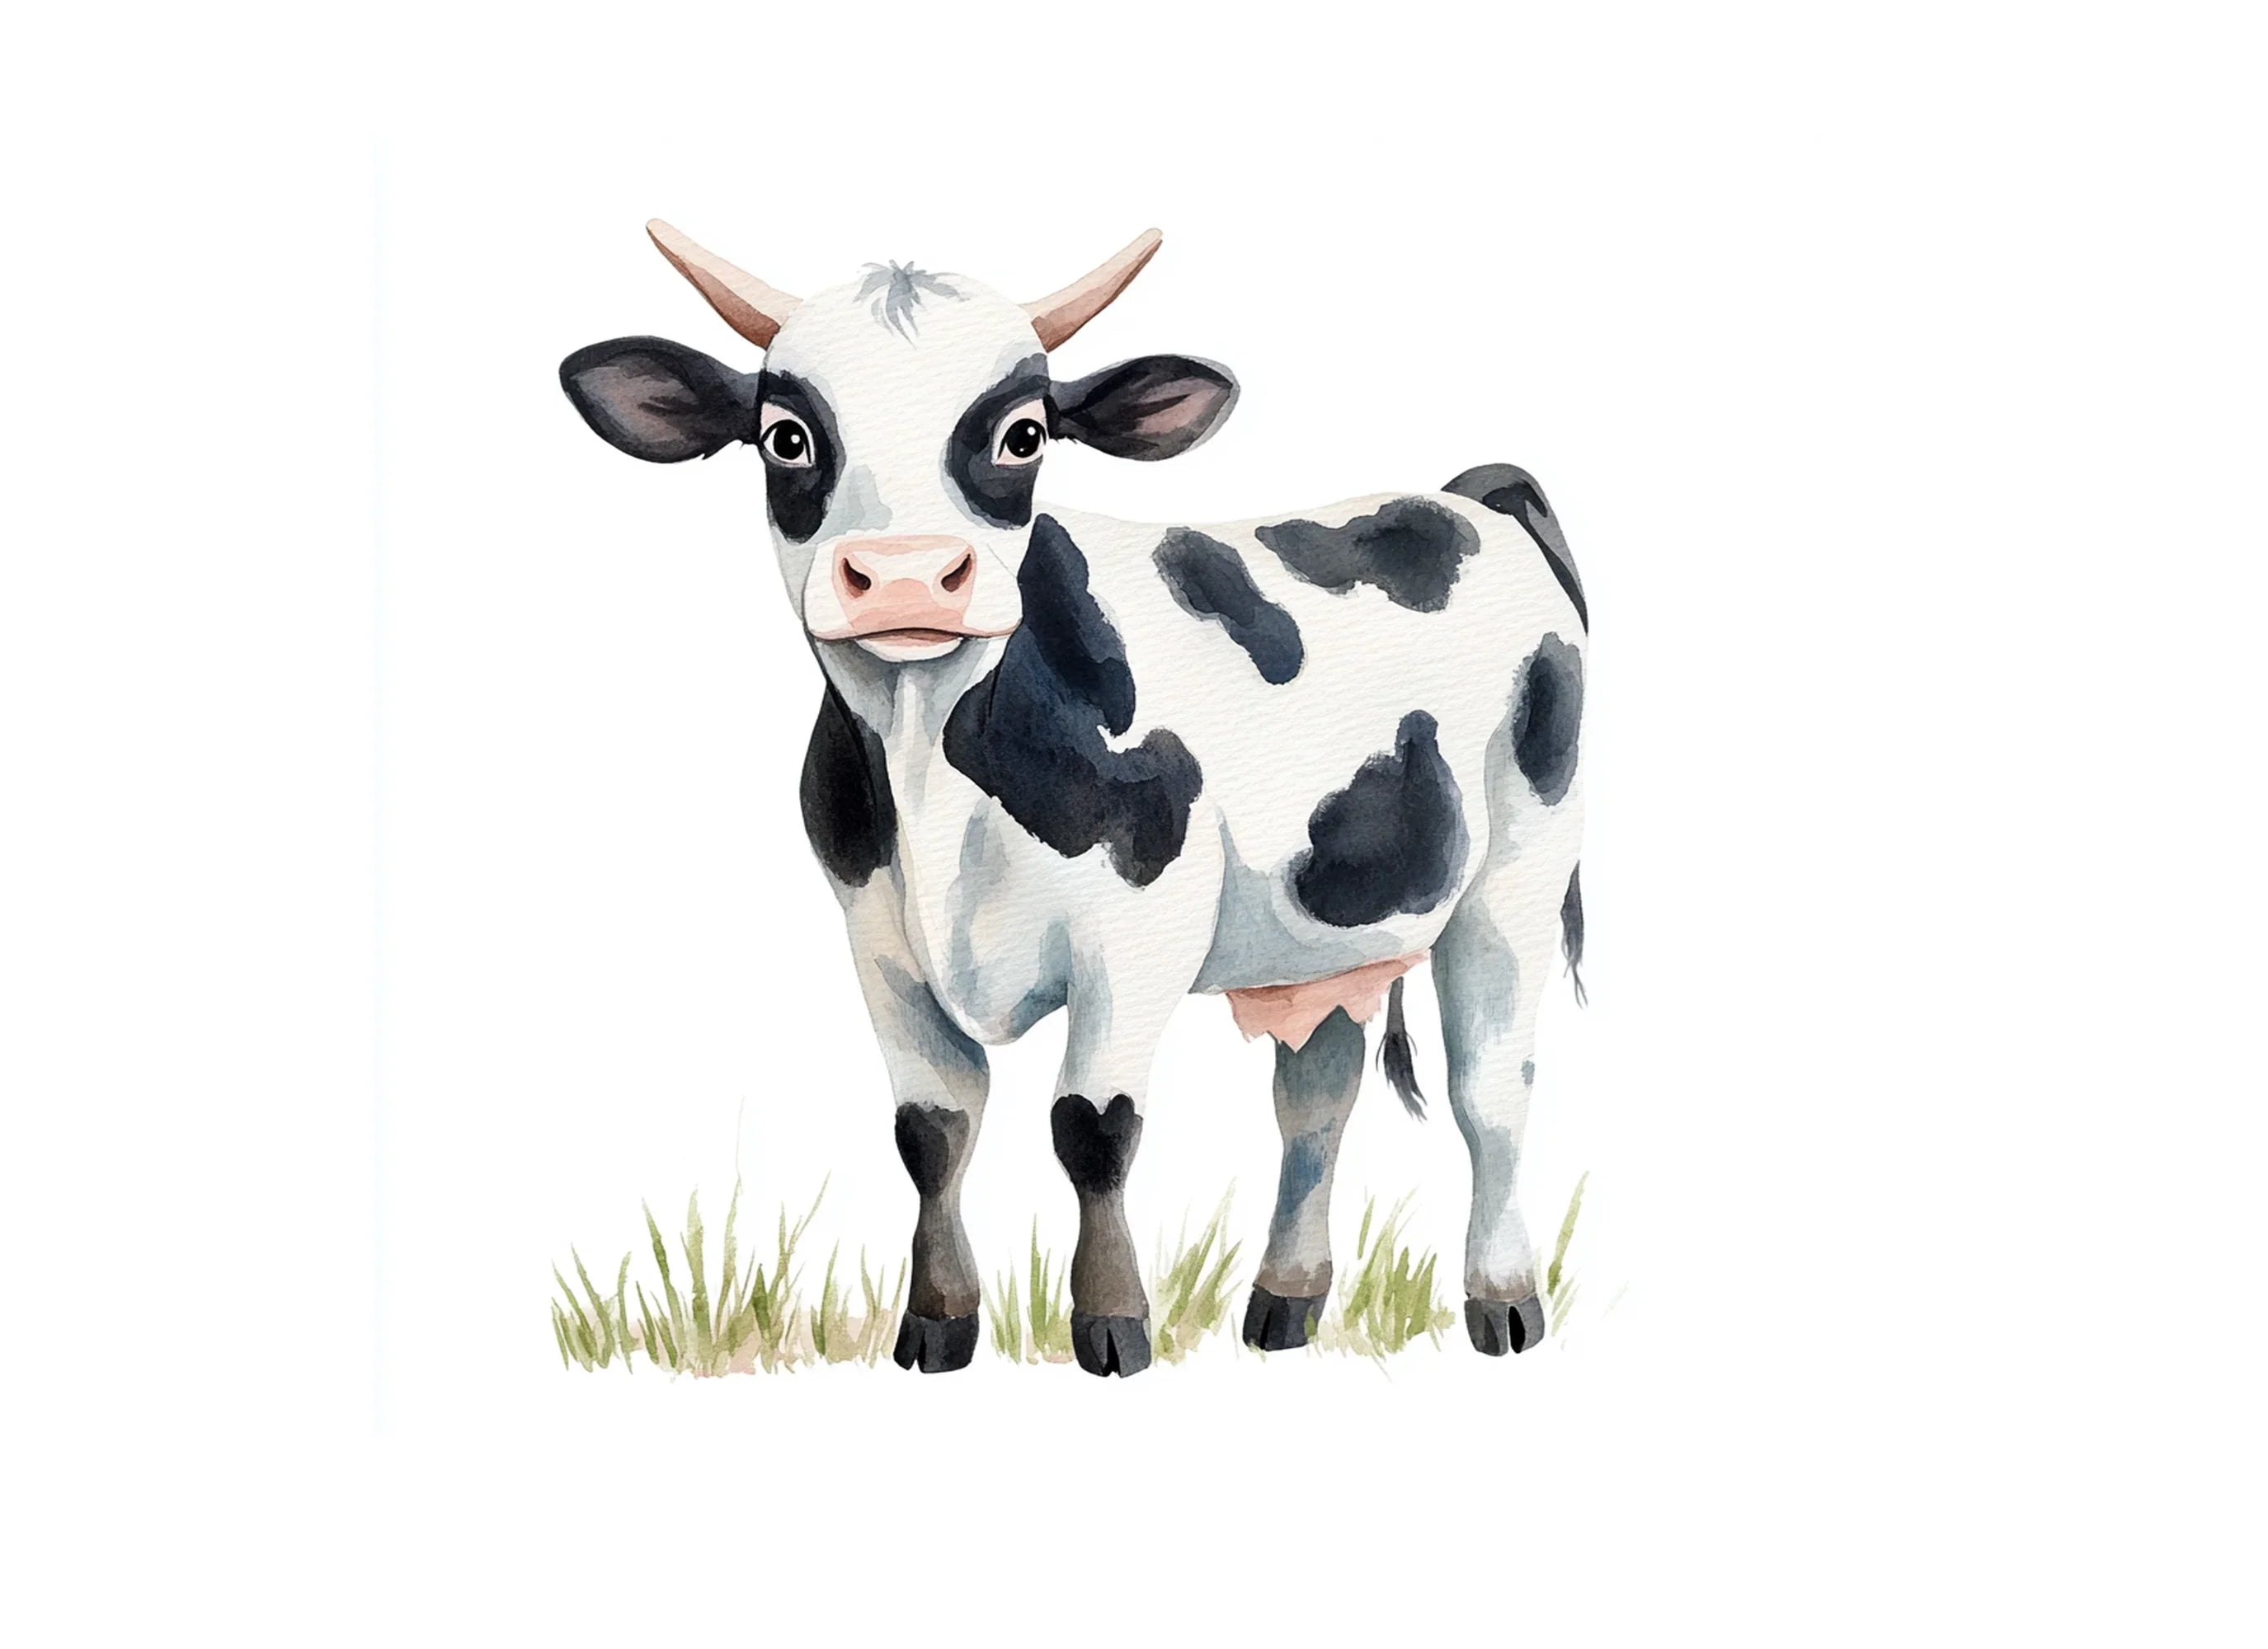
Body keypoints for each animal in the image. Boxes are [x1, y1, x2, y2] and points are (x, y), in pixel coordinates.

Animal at [560, 222, 1588, 1376]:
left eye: (1022, 434)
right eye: (785, 436)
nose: (908, 577)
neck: (929, 774)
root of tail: (1460, 494)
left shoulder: (1137, 934)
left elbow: (1092, 1124)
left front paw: (1111, 1320)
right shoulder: (876, 938)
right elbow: (932, 1130)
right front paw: (938, 1321)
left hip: (1519, 872)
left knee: (1490, 1089)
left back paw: (1501, 1299)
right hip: (1318, 928)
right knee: (1315, 1095)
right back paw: (1283, 1301)